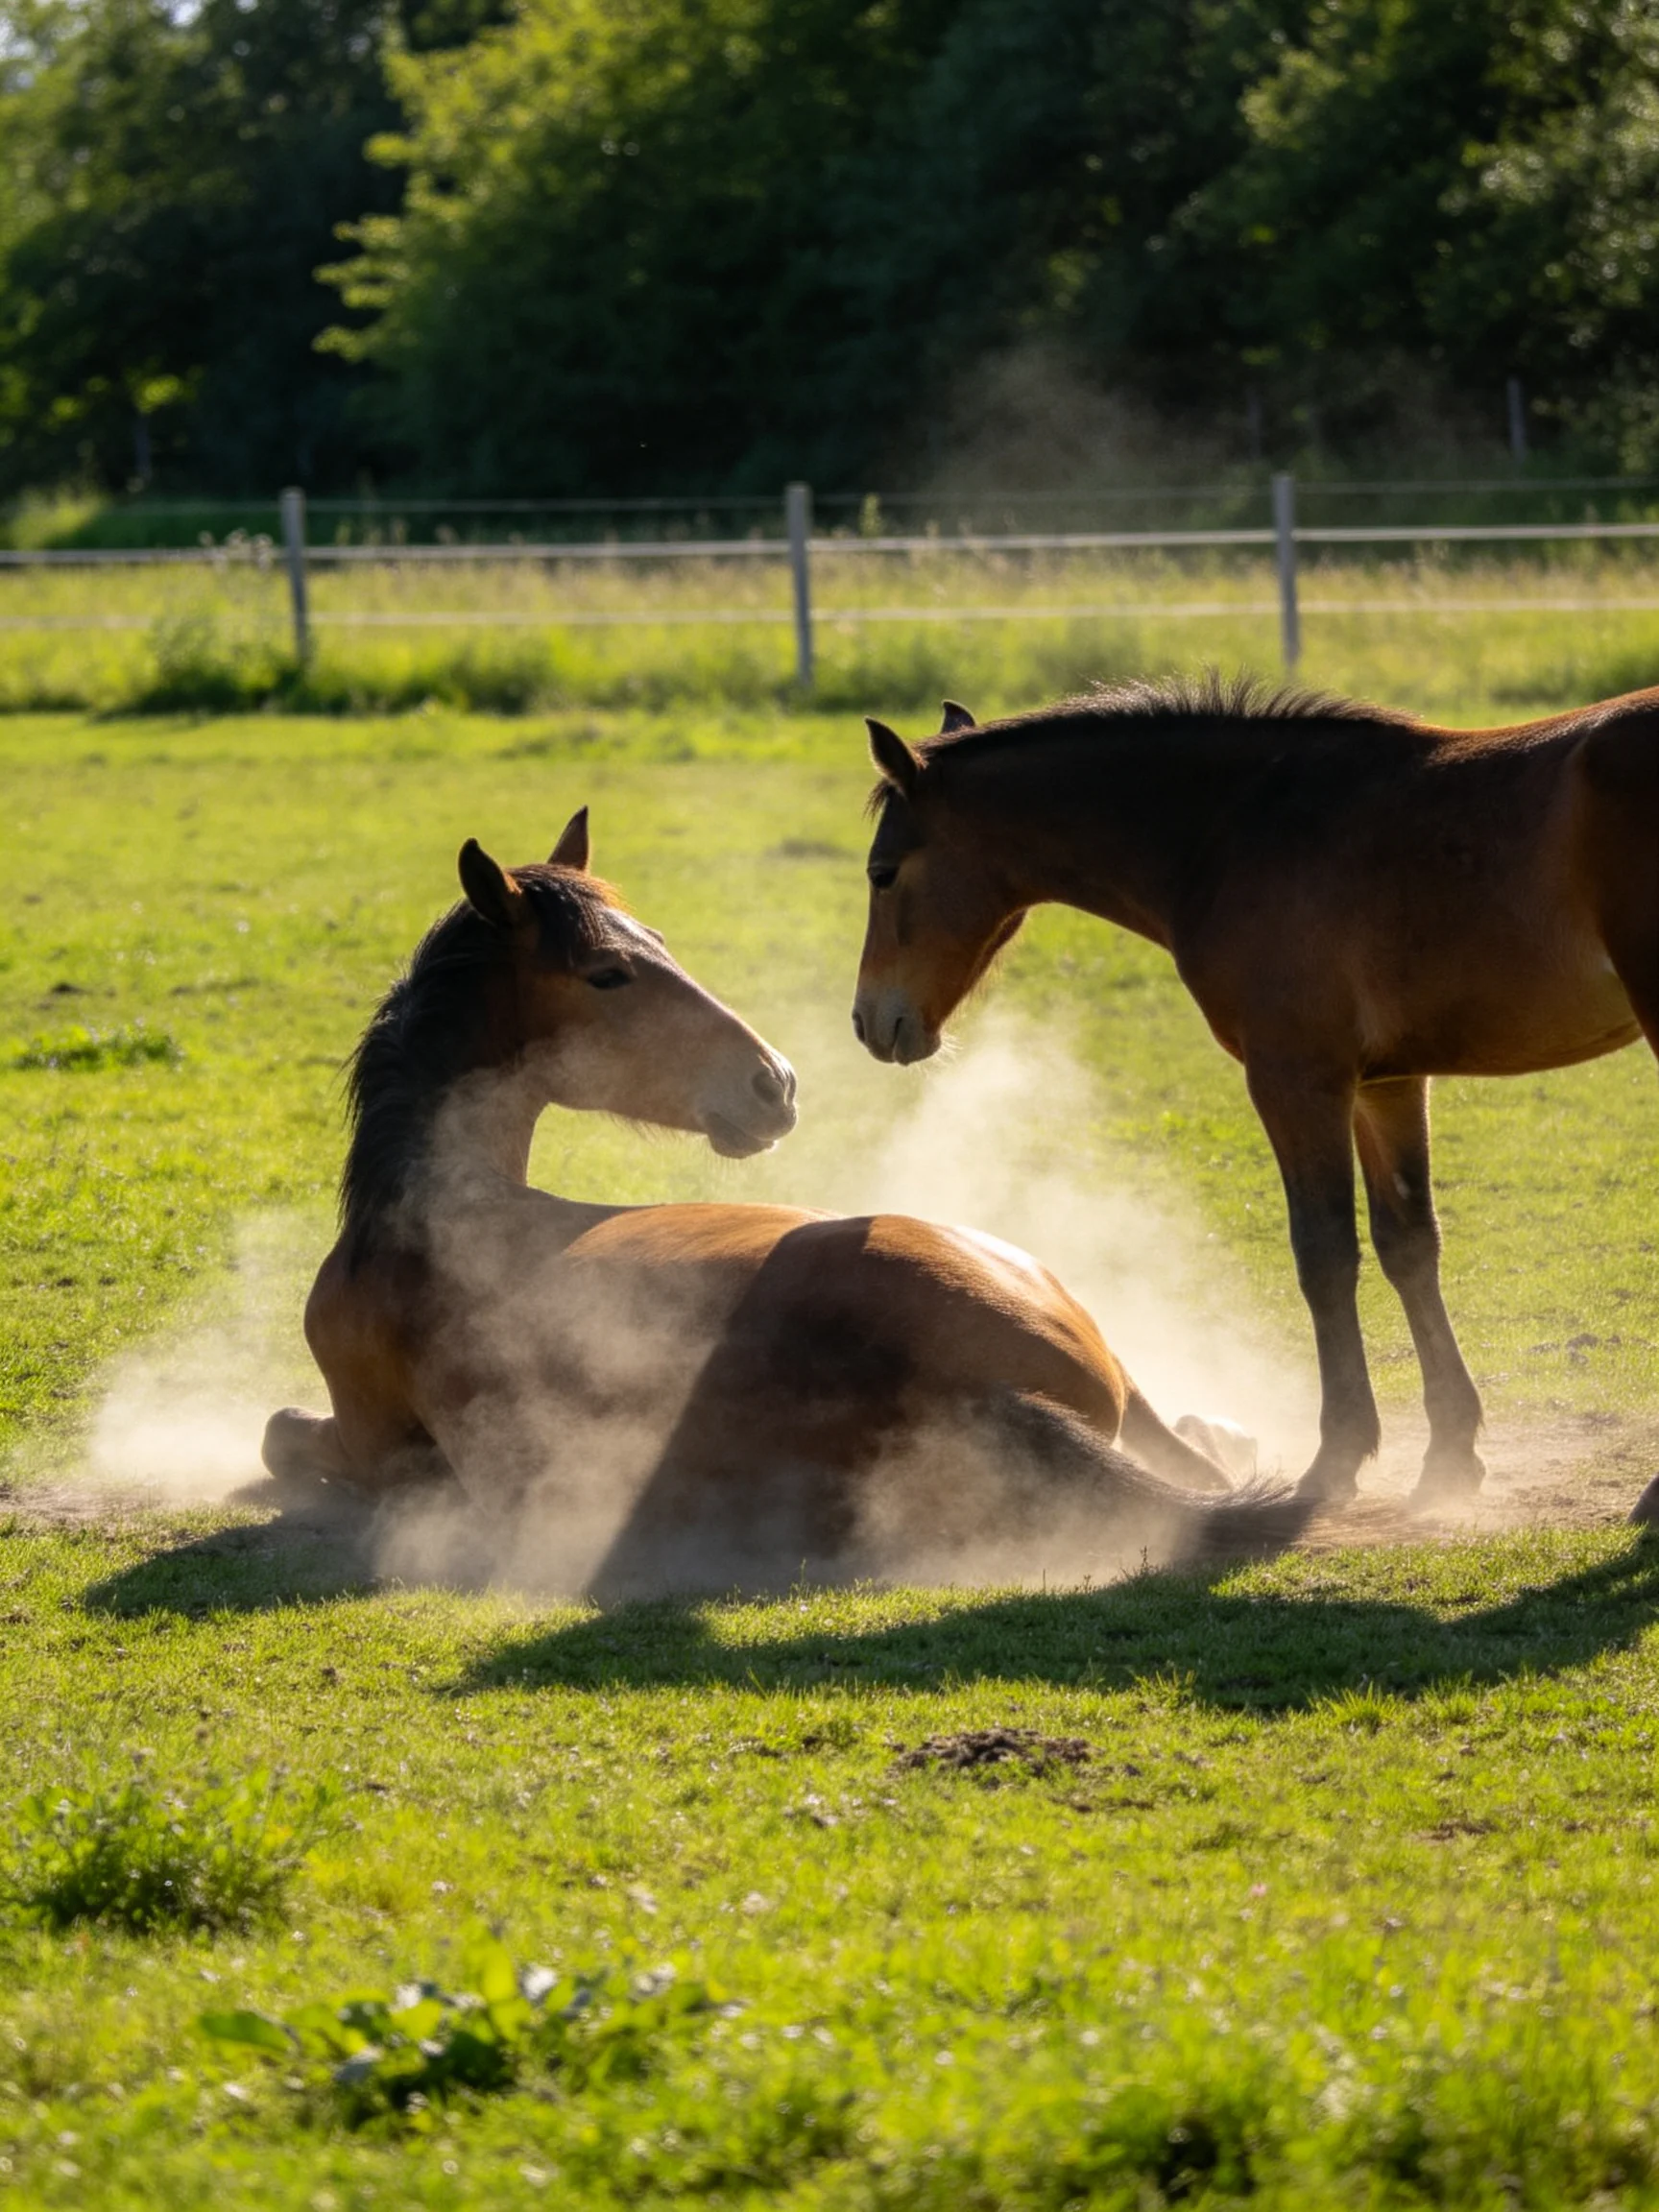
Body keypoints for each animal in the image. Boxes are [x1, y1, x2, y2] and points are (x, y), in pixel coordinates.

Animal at [851, 676, 1658, 1517]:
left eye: (882, 872)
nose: (871, 1020)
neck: (1233, 831)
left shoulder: (1293, 1075)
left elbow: (1324, 1253)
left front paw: (1336, 1459)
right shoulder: (1387, 1083)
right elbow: (1409, 1246)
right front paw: (1449, 1458)